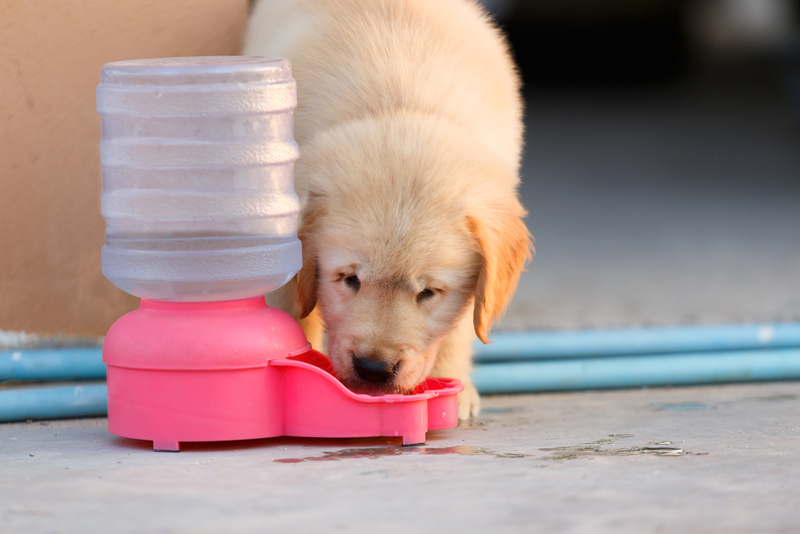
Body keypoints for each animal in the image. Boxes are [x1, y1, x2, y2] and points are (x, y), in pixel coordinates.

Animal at [244, 0, 532, 420]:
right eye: (348, 279)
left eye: (428, 292)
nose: (374, 369)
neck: (399, 106)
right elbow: (295, 311)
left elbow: (460, 326)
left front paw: (455, 388)